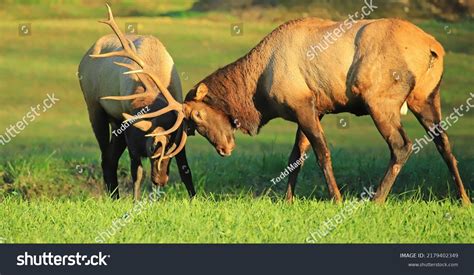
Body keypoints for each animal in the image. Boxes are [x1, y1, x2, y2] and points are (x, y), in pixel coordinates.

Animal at [78, 4, 194, 202]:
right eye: (154, 148)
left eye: (171, 153)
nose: (161, 180)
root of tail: (84, 58)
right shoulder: (130, 129)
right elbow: (137, 172)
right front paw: (135, 201)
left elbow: (185, 169)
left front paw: (194, 197)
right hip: (94, 108)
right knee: (105, 156)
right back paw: (114, 196)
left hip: (115, 121)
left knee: (110, 157)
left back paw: (115, 196)